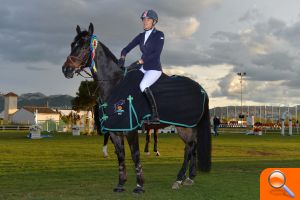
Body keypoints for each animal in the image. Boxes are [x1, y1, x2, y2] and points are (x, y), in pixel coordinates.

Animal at [61, 22, 211, 193]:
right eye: (72, 45)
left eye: (85, 47)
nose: (66, 70)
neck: (115, 84)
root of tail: (201, 89)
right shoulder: (115, 130)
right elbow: (121, 155)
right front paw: (121, 184)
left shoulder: (130, 129)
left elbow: (135, 154)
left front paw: (139, 185)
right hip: (186, 126)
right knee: (192, 147)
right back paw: (189, 178)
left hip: (186, 126)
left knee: (190, 147)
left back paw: (179, 179)